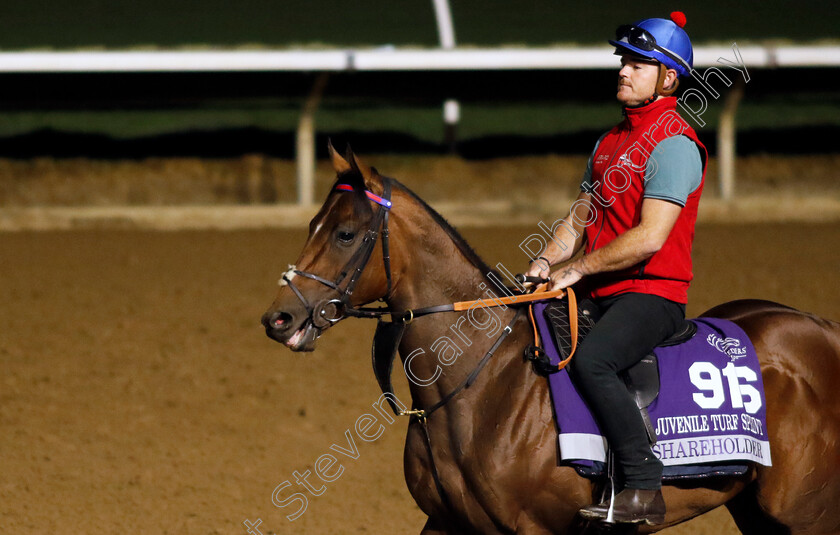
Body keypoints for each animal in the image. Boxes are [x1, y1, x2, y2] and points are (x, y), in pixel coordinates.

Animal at [262, 144, 840, 532]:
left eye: (345, 234)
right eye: (312, 224)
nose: (279, 319)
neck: (481, 384)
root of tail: (821, 328)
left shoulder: (536, 528)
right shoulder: (448, 522)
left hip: (806, 514)